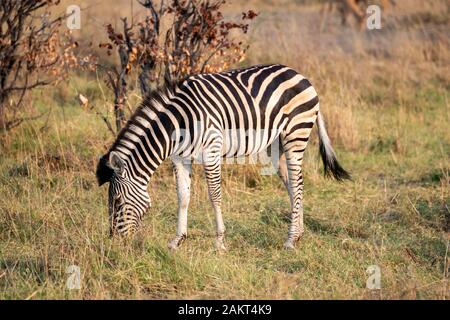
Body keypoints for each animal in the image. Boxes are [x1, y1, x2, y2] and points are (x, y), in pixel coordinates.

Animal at [96, 63, 350, 250]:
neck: (178, 124)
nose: (114, 241)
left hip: (296, 133)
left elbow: (214, 196)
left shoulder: (211, 150)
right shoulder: (180, 158)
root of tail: (300, 74)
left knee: (297, 183)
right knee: (293, 186)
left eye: (117, 201)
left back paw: (289, 241)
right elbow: (183, 197)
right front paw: (177, 240)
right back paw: (297, 235)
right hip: (274, 145)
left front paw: (219, 242)